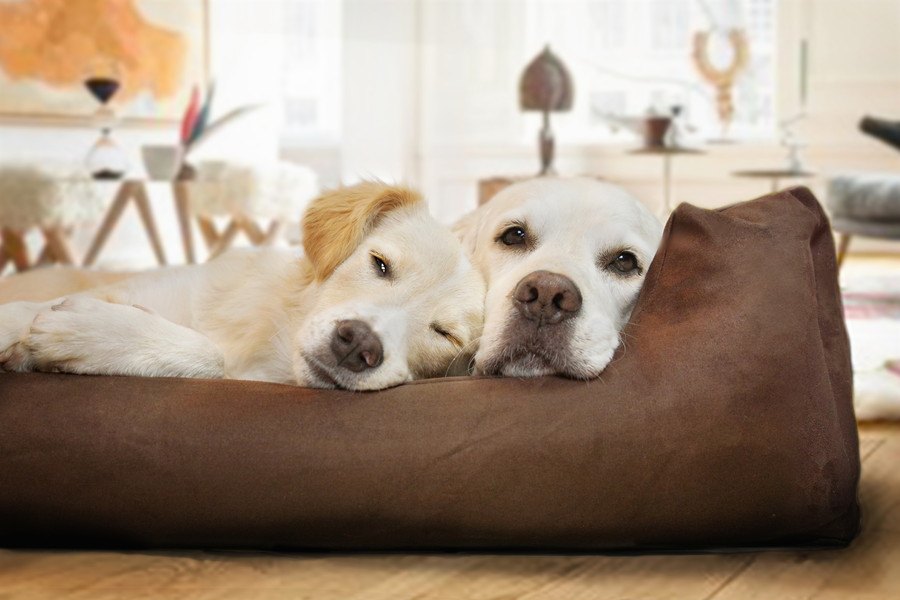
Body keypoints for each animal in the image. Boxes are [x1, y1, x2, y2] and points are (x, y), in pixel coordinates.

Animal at [0, 180, 486, 392]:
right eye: (380, 264)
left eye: (444, 334)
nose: (357, 344)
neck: (266, 351)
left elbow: (208, 356)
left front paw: (86, 335)